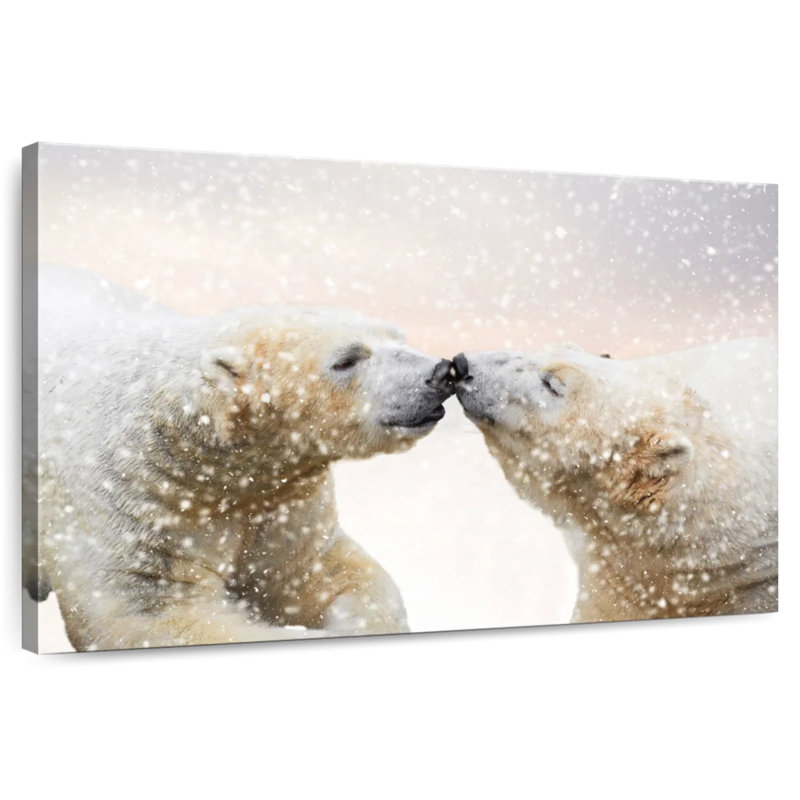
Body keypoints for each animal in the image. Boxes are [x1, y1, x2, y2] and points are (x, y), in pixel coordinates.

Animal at [28, 265, 455, 651]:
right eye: (347, 359)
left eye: (398, 336)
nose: (440, 371)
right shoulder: (133, 492)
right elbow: (150, 610)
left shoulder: (280, 495)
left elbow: (315, 570)